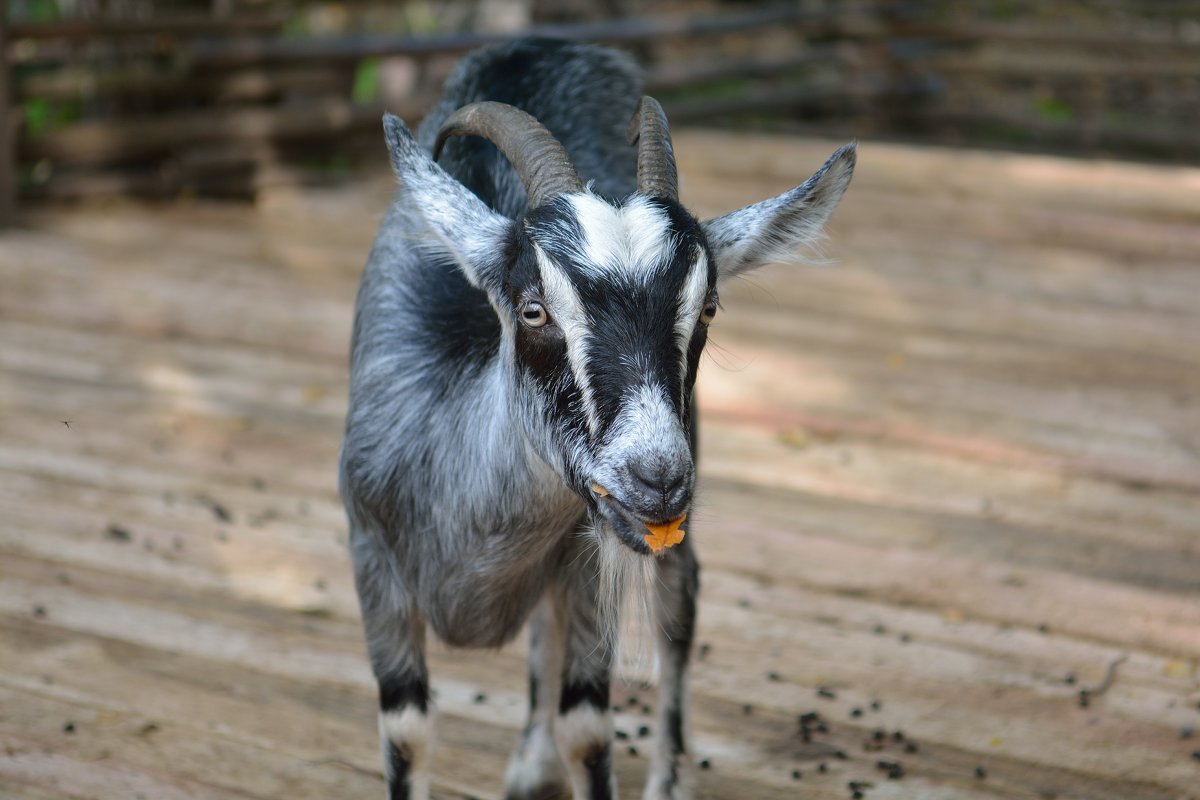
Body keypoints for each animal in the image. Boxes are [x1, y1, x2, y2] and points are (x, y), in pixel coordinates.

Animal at [340, 37, 854, 800]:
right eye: (533, 310)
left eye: (706, 308)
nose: (657, 479)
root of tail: (549, 45)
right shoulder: (371, 549)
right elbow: (405, 731)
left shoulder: (590, 556)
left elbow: (587, 727)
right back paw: (531, 762)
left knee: (678, 606)